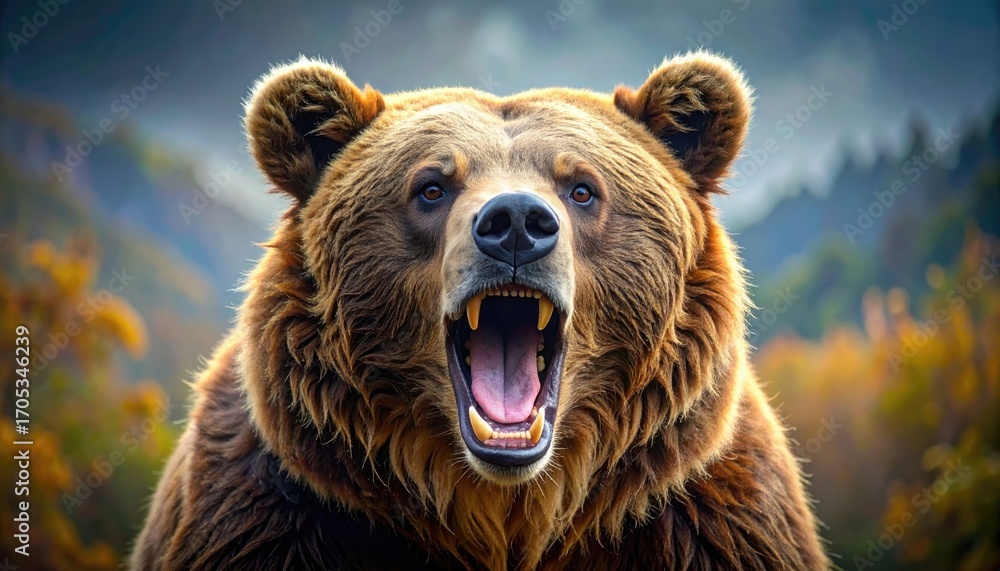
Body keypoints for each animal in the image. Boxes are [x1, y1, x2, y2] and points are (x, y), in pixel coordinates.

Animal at [130, 51, 829, 570]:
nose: (516, 222)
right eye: (432, 186)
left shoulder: (706, 523)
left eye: (582, 188)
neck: (503, 510)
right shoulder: (269, 512)